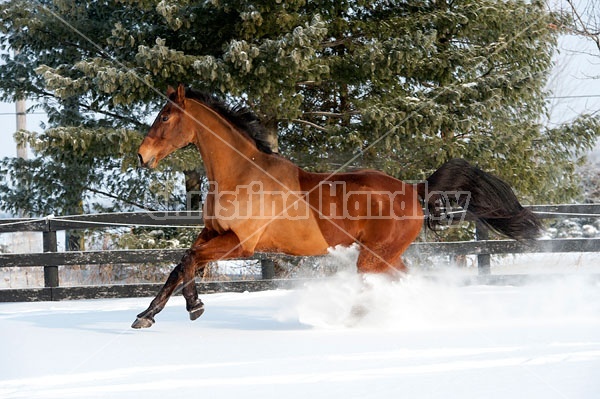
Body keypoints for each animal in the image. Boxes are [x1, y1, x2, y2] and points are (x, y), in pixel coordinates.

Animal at [132, 83, 544, 328]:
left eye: (165, 116)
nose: (141, 155)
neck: (242, 173)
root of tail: (414, 190)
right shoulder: (213, 233)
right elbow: (181, 266)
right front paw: (153, 314)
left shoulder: (241, 243)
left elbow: (189, 261)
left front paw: (187, 308)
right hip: (385, 256)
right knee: (405, 280)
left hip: (373, 257)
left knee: (375, 287)